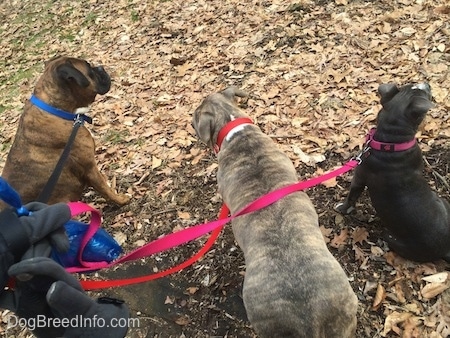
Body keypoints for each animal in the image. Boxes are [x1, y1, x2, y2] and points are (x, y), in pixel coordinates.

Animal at [2, 56, 130, 206]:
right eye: (88, 67)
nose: (100, 67)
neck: (55, 110)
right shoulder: (89, 168)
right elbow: (105, 189)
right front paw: (121, 199)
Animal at [336, 83, 450, 262]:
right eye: (424, 92)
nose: (427, 84)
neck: (390, 141)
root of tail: (445, 250)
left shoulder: (359, 177)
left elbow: (351, 195)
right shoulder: (359, 177)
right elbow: (351, 197)